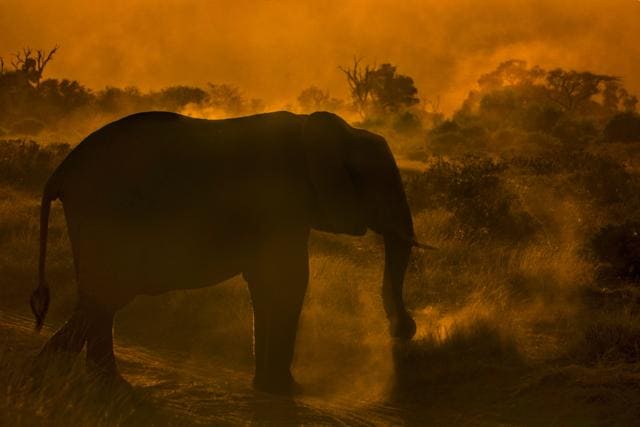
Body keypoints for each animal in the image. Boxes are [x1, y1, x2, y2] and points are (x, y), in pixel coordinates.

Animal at [30, 110, 424, 394]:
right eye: (383, 182)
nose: (405, 330)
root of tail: (60, 172)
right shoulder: (281, 202)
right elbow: (289, 281)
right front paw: (287, 392)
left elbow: (267, 283)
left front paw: (267, 388)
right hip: (106, 215)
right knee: (108, 295)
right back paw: (70, 376)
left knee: (100, 300)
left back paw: (68, 374)